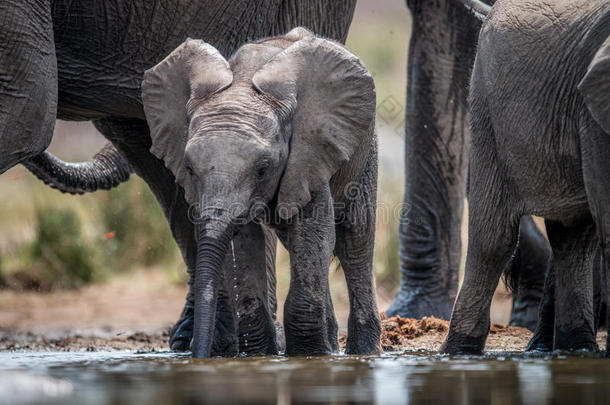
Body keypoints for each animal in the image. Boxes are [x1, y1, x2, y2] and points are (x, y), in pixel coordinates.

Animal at [142, 28, 380, 356]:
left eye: (263, 168)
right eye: (188, 167)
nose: (197, 354)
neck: (243, 85)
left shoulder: (309, 151)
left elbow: (314, 231)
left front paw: (307, 356)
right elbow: (246, 239)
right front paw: (262, 355)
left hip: (362, 148)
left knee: (354, 240)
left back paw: (362, 352)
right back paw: (331, 345)